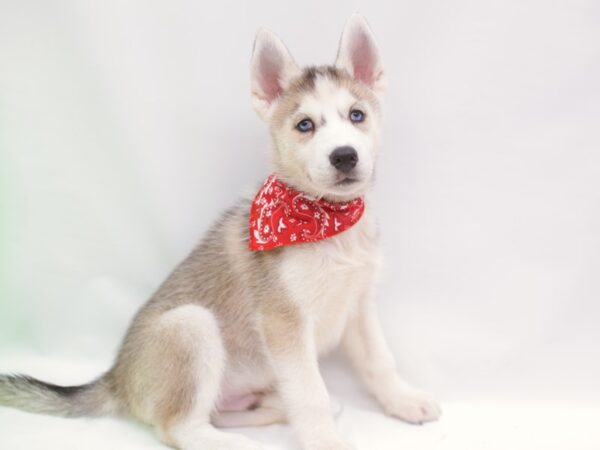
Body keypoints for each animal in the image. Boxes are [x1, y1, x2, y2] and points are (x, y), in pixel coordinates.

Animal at [0, 14, 440, 450]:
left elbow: (378, 361)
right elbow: (309, 393)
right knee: (181, 427)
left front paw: (404, 400)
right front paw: (326, 442)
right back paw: (244, 444)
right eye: (305, 125)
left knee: (224, 413)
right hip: (191, 325)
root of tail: (116, 379)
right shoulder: (284, 323)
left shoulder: (359, 305)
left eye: (357, 115)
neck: (328, 222)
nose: (344, 156)